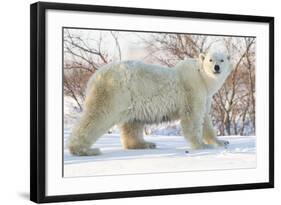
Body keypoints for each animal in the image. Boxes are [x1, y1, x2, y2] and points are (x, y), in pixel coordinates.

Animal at [68, 50, 232, 155]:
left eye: (222, 59)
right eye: (210, 59)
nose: (216, 67)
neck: (202, 78)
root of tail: (94, 77)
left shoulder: (205, 96)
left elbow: (205, 119)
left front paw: (221, 142)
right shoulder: (192, 90)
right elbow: (193, 118)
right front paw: (201, 145)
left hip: (131, 98)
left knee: (132, 123)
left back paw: (146, 144)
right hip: (114, 92)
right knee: (98, 116)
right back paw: (84, 149)